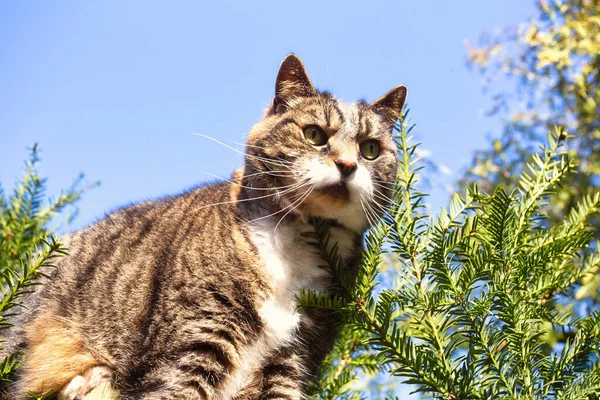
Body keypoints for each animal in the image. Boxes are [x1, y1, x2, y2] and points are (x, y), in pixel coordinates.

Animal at [3, 54, 408, 400]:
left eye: (370, 149)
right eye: (314, 135)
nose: (347, 165)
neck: (296, 245)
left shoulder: (294, 358)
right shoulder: (195, 340)